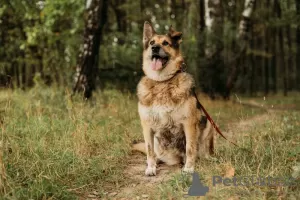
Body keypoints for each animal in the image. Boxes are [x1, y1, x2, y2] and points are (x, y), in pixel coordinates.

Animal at [135, 21, 214, 176]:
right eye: (152, 42)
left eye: (166, 43)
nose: (154, 48)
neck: (162, 82)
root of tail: (176, 159)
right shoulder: (146, 126)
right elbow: (149, 150)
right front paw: (150, 167)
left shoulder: (189, 123)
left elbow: (190, 148)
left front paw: (189, 168)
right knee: (155, 153)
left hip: (208, 123)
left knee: (203, 151)